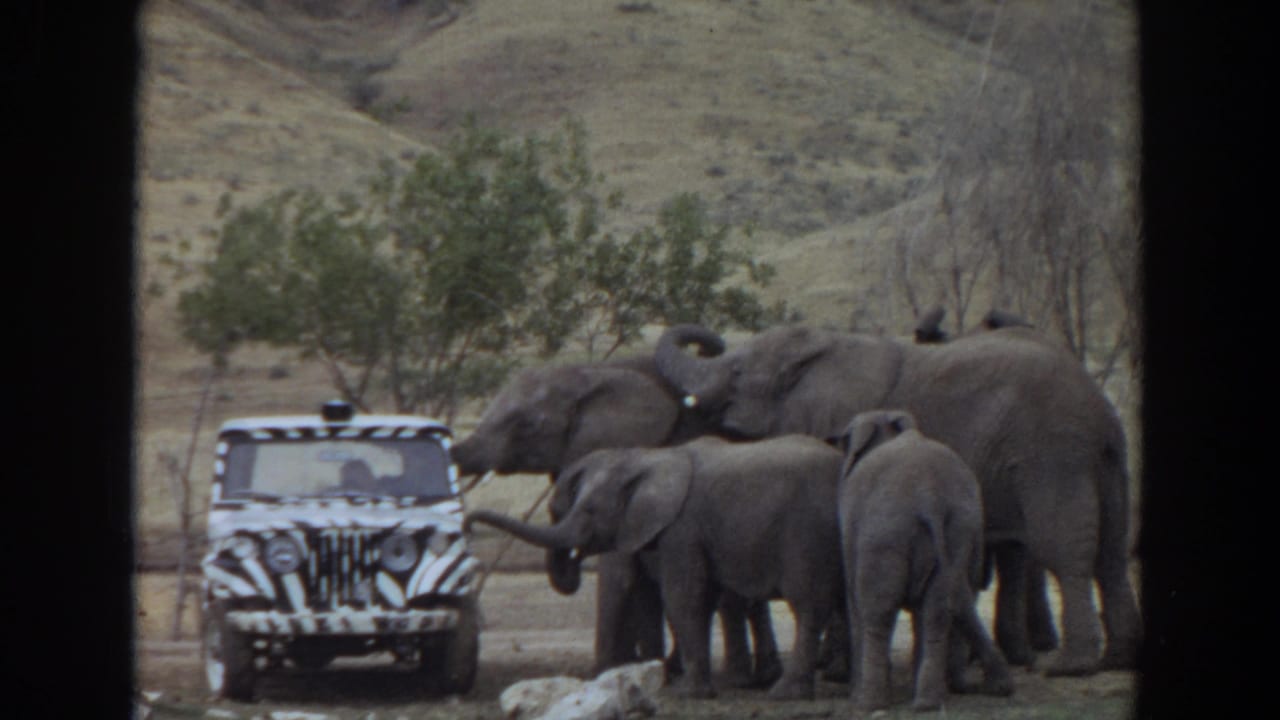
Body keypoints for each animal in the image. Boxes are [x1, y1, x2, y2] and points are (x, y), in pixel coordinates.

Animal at [450, 354, 783, 687]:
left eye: (528, 425)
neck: (592, 372)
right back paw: (759, 674)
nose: (467, 525)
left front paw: (610, 670)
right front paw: (639, 666)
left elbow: (622, 569)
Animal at [464, 435, 846, 700]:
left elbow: (684, 598)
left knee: (808, 606)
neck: (643, 458)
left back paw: (786, 694)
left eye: (589, 510)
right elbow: (671, 596)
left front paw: (687, 693)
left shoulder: (682, 529)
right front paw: (659, 682)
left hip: (807, 532)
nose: (466, 524)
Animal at [653, 322, 1142, 676]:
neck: (821, 349)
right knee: (1111, 554)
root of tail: (1098, 406)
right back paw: (1117, 658)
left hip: (1053, 454)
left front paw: (835, 672)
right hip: (1108, 461)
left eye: (736, 373)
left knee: (1065, 550)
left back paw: (1069, 667)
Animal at [837, 409, 1013, 712]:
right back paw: (927, 702)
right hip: (958, 529)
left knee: (878, 611)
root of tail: (930, 497)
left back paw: (869, 704)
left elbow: (856, 600)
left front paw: (856, 696)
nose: (1003, 688)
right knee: (938, 609)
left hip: (886, 535)